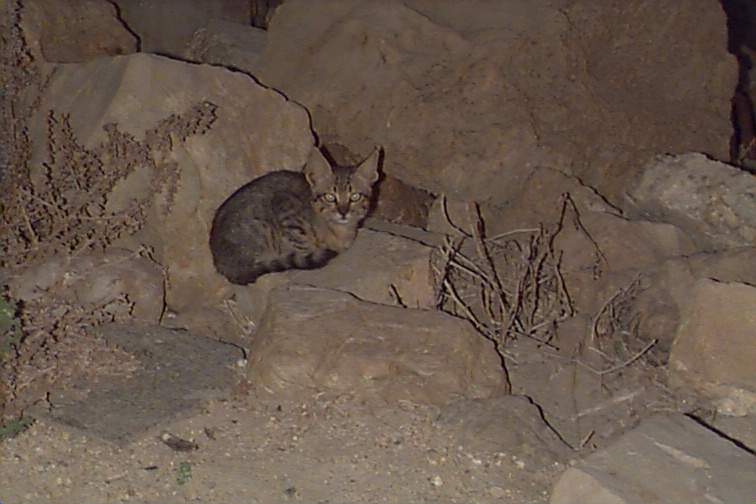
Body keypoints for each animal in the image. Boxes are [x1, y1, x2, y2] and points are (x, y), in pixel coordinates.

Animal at [209, 146, 380, 284]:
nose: (343, 212)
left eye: (355, 196)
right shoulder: (286, 206)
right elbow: (301, 242)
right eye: (330, 197)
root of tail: (221, 264)